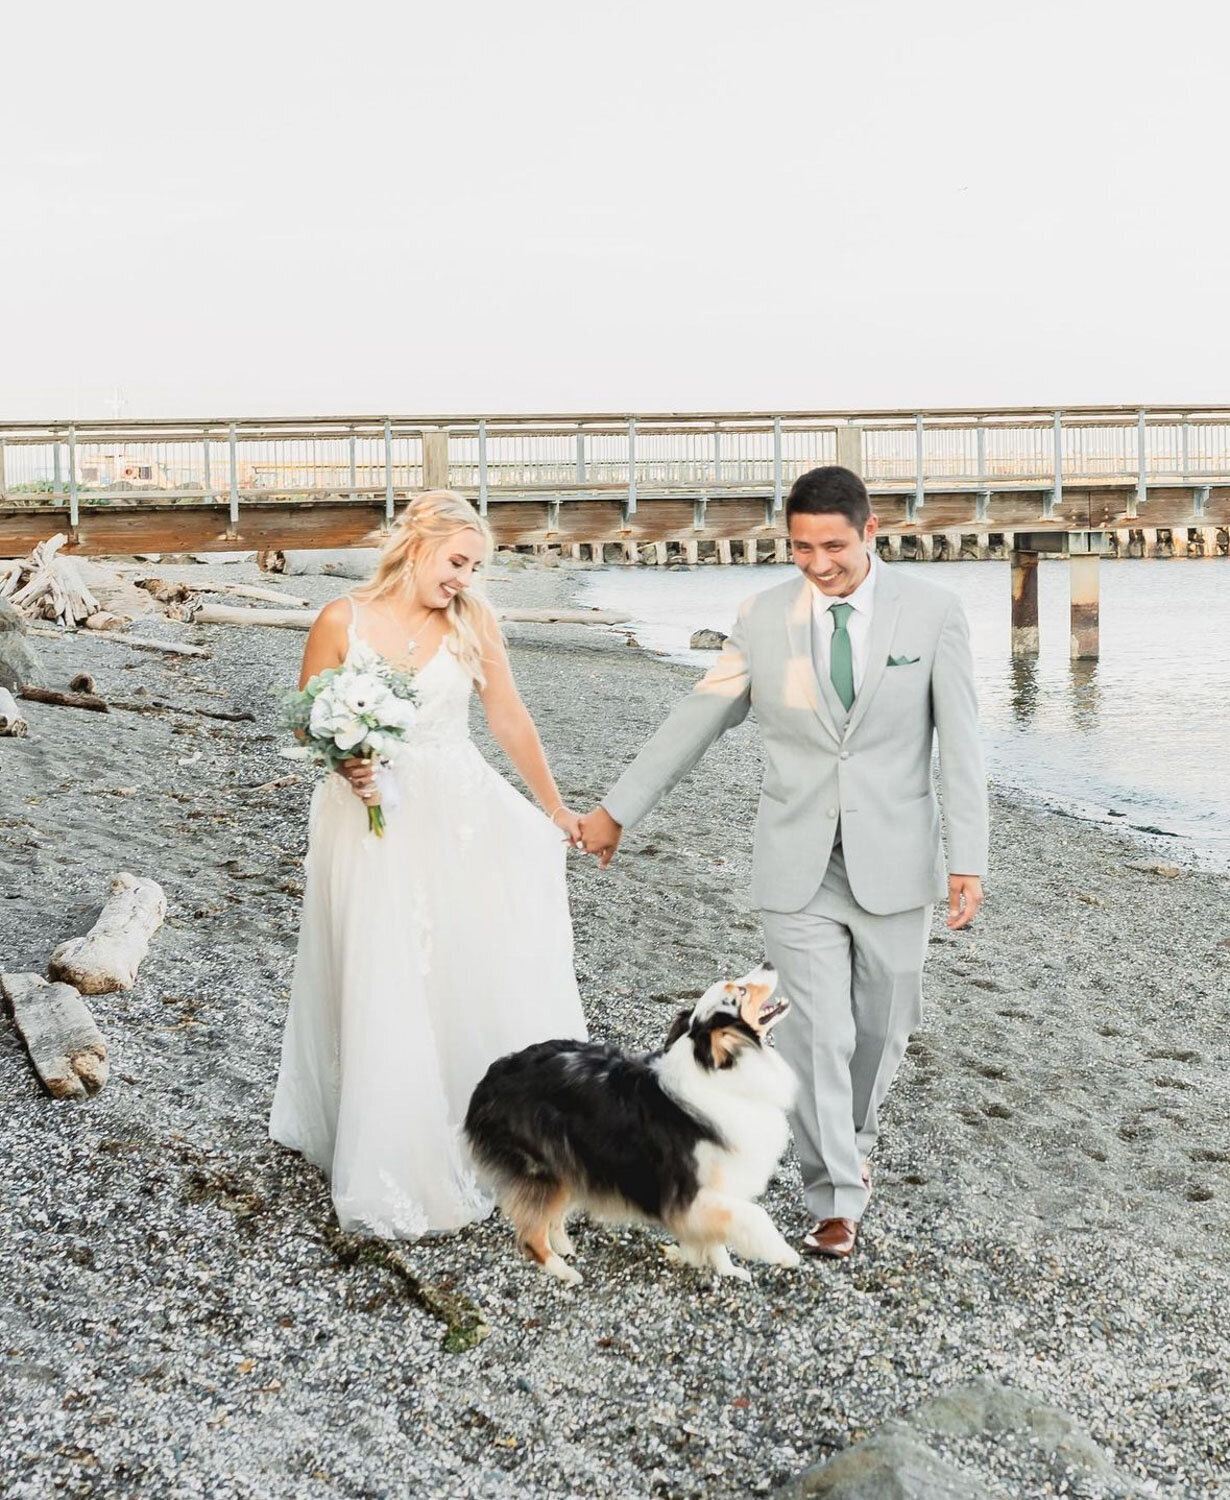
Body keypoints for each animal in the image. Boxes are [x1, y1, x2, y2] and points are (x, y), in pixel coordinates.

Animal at [462, 966, 798, 1284]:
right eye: (740, 991)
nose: (769, 962)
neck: (715, 1072)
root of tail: (489, 1079)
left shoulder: (717, 1188)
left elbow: (718, 1239)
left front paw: (729, 1271)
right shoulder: (688, 1195)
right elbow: (753, 1214)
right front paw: (783, 1253)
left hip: (575, 1166)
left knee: (553, 1219)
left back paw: (565, 1248)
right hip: (544, 1169)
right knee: (531, 1236)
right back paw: (565, 1272)